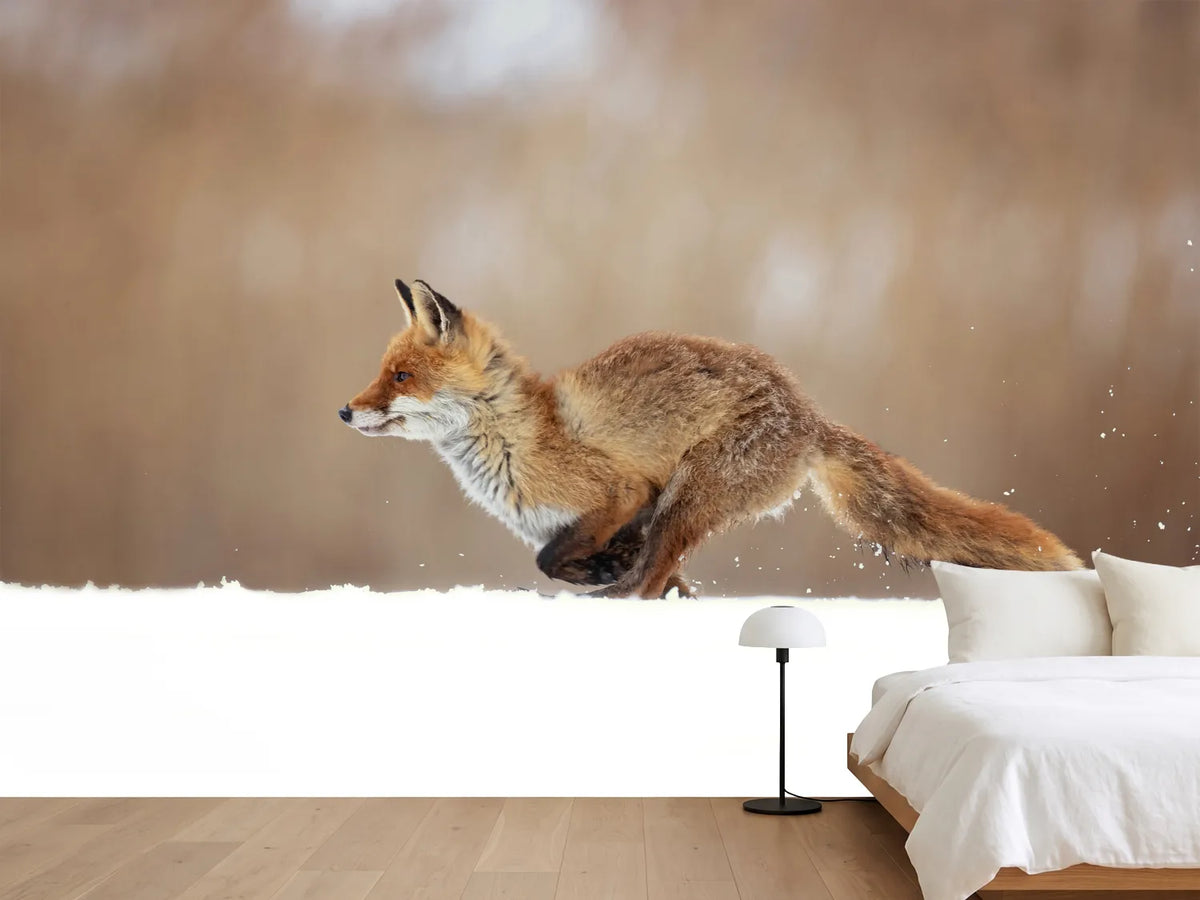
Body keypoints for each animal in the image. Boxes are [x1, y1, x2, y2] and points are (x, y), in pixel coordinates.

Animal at [339, 279, 1083, 598]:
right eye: (381, 371)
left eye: (400, 376)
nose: (345, 412)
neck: (516, 437)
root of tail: (808, 412)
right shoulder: (618, 516)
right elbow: (585, 559)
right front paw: (609, 574)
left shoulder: (623, 491)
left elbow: (553, 559)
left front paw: (596, 577)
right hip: (685, 505)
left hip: (689, 496)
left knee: (649, 577)